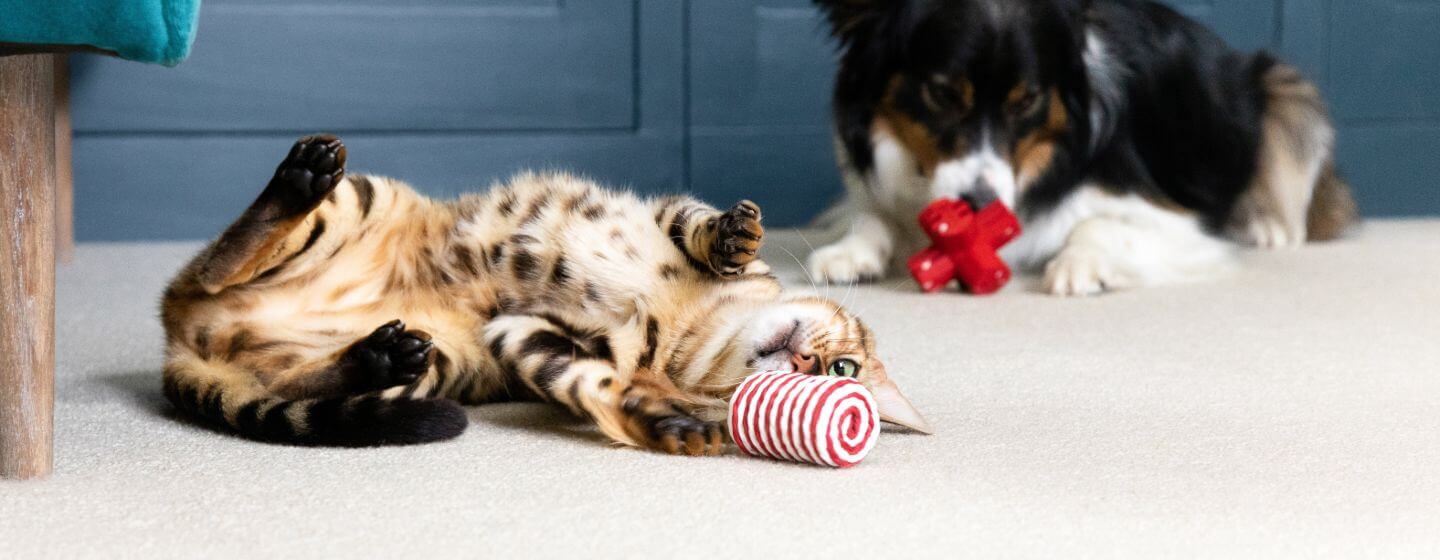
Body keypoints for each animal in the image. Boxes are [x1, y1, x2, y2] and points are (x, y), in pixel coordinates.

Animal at [160, 135, 933, 454]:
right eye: (843, 366)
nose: (807, 365)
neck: (695, 327)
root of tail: (183, 338)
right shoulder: (660, 211)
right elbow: (698, 223)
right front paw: (732, 237)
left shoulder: (520, 334)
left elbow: (597, 384)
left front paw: (663, 423)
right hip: (360, 200)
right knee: (220, 261)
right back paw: (300, 176)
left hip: (438, 362)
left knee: (293, 377)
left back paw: (374, 357)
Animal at [812, 0, 1359, 296]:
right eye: (943, 93)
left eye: (1027, 100)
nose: (982, 206)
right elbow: (870, 215)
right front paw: (849, 251)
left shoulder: (1175, 218)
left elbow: (1097, 223)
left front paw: (1081, 265)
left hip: (1286, 91)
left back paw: (1267, 225)